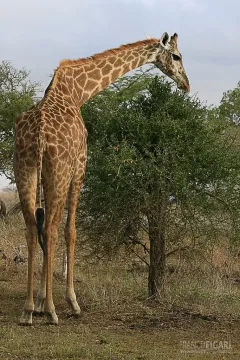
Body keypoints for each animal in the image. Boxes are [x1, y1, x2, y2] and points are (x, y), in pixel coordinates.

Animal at [13, 33, 189, 326]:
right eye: (176, 56)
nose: (186, 83)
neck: (77, 91)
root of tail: (38, 136)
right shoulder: (80, 167)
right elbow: (71, 231)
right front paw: (70, 303)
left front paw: (37, 302)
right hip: (59, 173)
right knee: (50, 230)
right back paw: (52, 310)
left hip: (24, 171)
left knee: (31, 228)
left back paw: (28, 310)